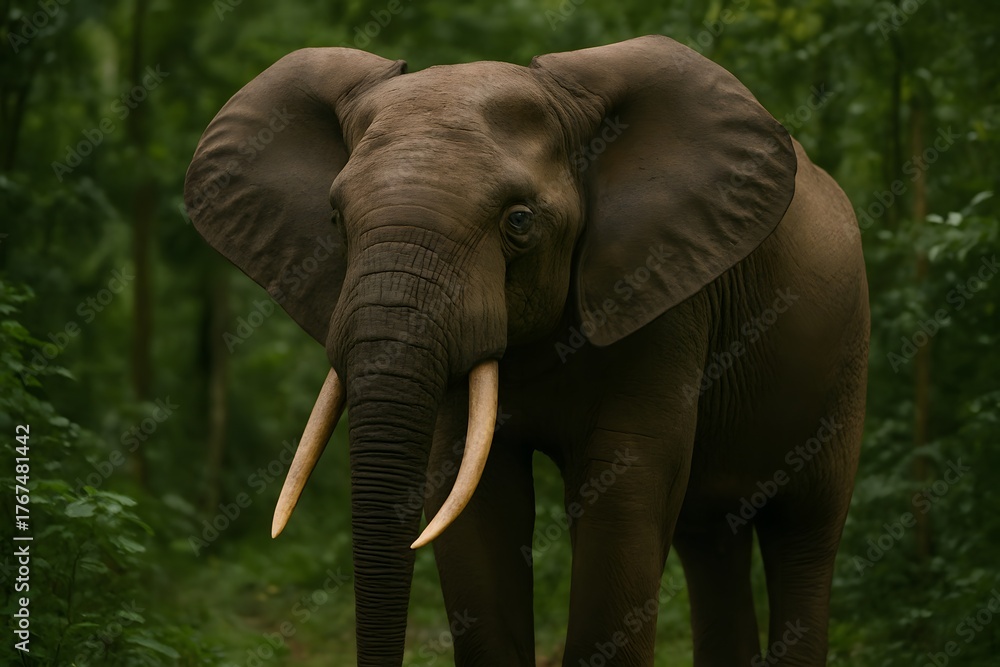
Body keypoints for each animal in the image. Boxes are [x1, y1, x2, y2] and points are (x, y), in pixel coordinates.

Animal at [184, 35, 869, 666]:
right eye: (334, 220)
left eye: (519, 222)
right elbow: (470, 495)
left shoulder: (666, 295)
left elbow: (625, 485)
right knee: (710, 538)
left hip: (847, 358)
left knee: (805, 533)